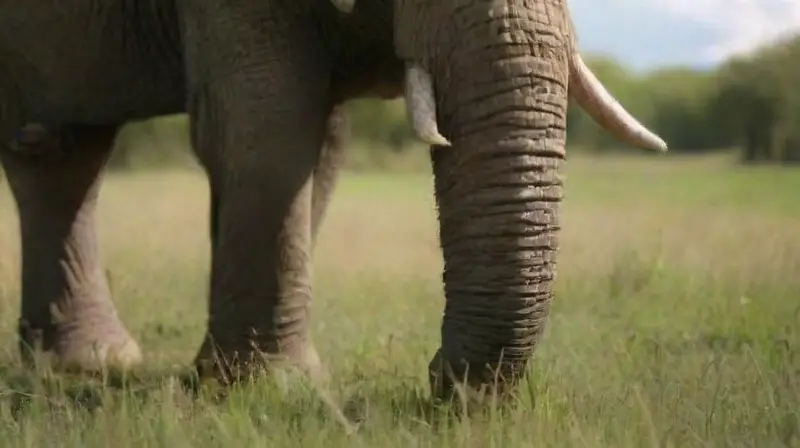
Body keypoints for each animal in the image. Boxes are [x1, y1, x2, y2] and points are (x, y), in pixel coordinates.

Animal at [0, 0, 666, 401]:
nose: (447, 387)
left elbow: (321, 141)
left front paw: (242, 383)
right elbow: (267, 121)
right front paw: (267, 388)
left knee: (62, 153)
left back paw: (87, 367)